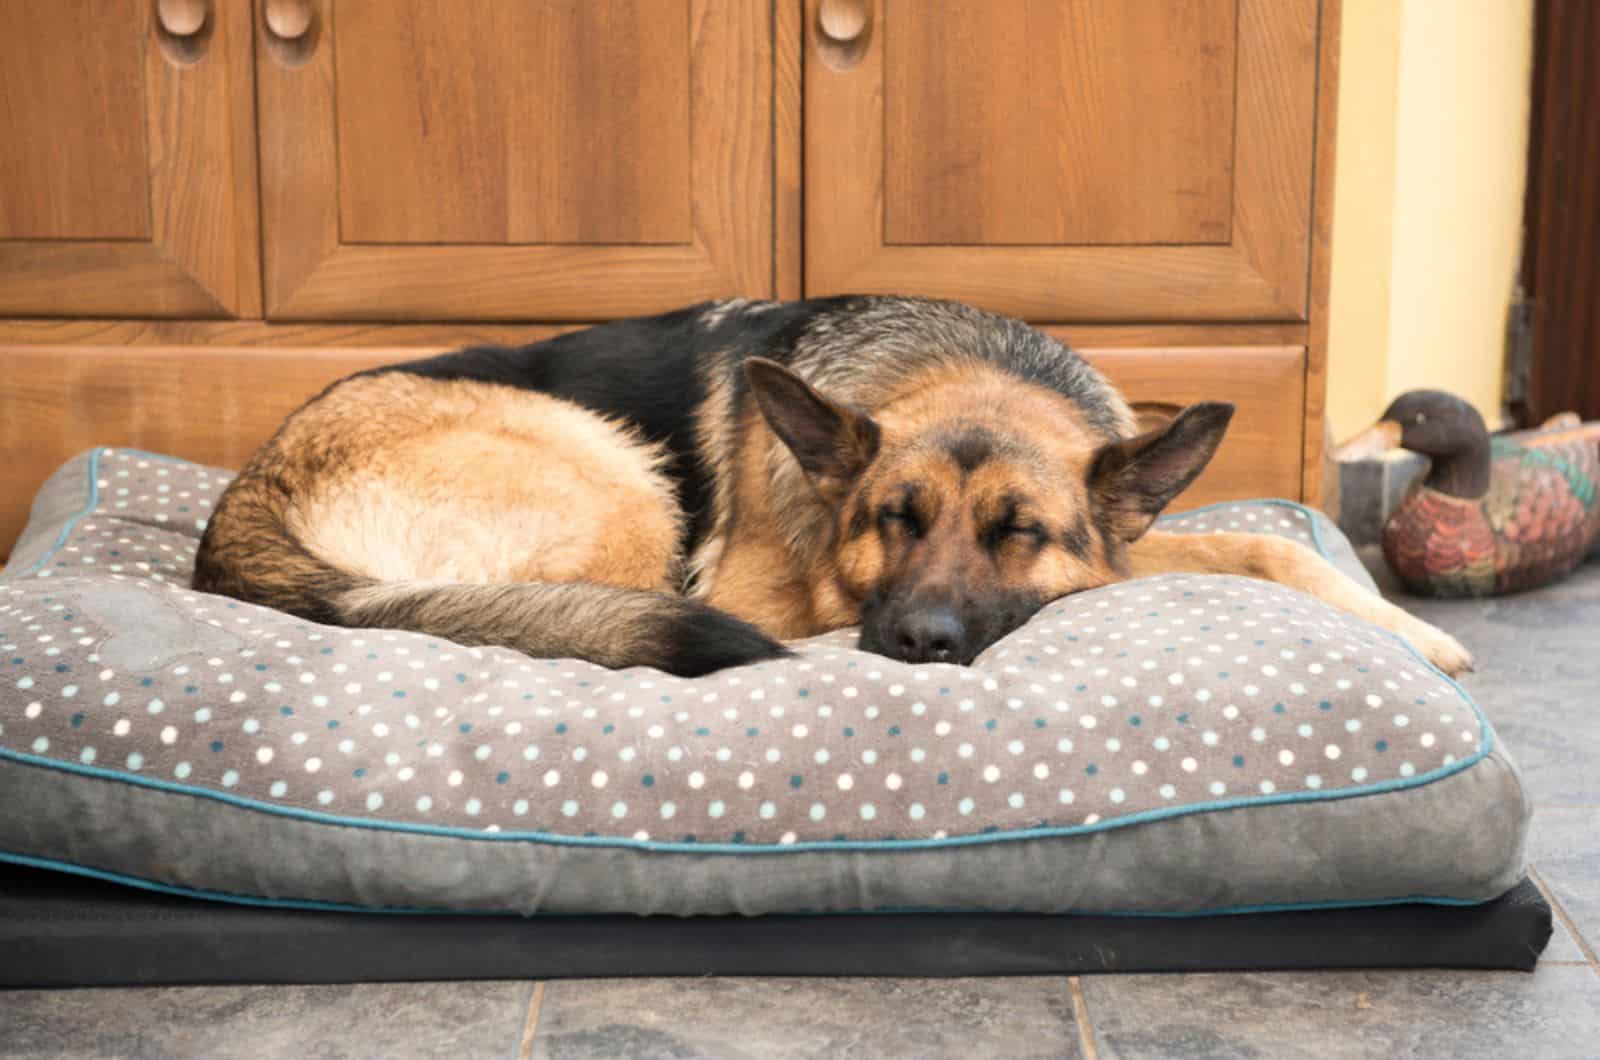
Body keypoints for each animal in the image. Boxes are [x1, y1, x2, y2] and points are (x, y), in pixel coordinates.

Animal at [190, 296, 1472, 682]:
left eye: (1020, 532)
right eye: (890, 521)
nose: (917, 642)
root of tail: (249, 489)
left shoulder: (1110, 546)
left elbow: (1273, 544)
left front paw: (1405, 630)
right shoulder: (771, 594)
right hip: (621, 483)